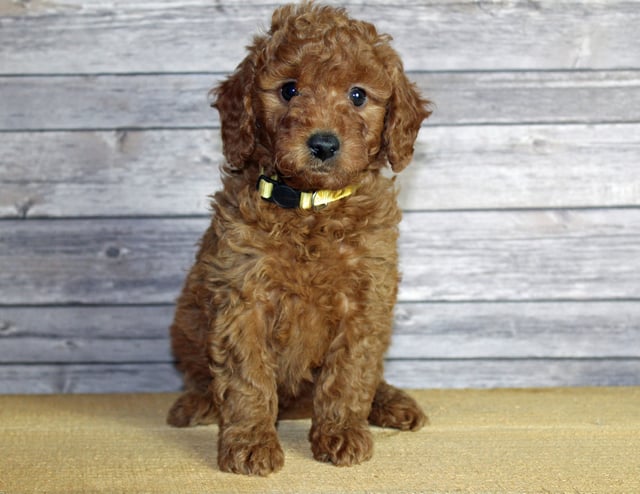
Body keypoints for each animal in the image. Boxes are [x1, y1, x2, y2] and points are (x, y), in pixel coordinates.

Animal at [168, 1, 432, 476]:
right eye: (289, 89)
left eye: (358, 95)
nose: (324, 144)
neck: (311, 208)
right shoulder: (243, 294)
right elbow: (247, 377)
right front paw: (250, 444)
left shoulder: (365, 300)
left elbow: (349, 373)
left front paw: (341, 432)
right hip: (186, 326)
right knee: (203, 377)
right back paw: (197, 404)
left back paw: (392, 403)